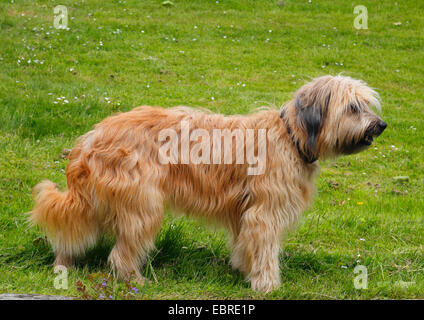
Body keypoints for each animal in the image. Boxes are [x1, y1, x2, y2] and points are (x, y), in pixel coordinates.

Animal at [29, 75, 388, 292]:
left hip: (101, 200)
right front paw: (267, 284)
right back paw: (135, 279)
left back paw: (63, 266)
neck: (292, 136)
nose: (381, 125)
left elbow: (246, 245)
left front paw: (245, 271)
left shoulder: (245, 212)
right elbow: (265, 247)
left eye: (366, 104)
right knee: (122, 252)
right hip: (143, 205)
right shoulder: (265, 213)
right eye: (353, 108)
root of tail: (92, 138)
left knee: (73, 231)